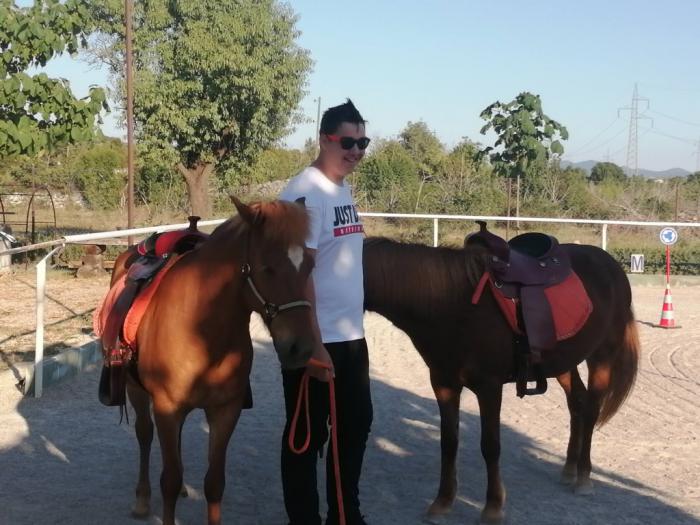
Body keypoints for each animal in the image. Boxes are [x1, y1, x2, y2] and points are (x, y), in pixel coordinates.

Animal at [107, 197, 316, 525]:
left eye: (309, 264)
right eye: (268, 268)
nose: (302, 348)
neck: (203, 333)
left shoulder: (225, 410)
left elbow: (214, 483)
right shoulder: (166, 407)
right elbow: (169, 481)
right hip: (136, 390)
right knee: (144, 434)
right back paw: (142, 499)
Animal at [362, 236, 640, 524]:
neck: (452, 304)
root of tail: (610, 264)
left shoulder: (489, 387)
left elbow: (490, 445)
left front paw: (493, 507)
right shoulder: (444, 384)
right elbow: (448, 443)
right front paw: (442, 502)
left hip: (602, 356)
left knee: (591, 410)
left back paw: (584, 476)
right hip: (563, 362)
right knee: (577, 403)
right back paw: (569, 468)